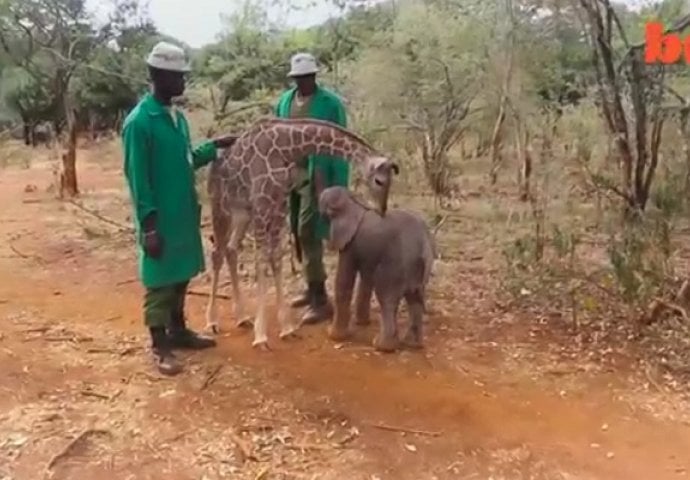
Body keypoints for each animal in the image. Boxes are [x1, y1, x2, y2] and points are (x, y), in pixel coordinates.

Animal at [318, 186, 436, 350]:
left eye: (324, 216)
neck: (354, 201)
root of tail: (424, 244)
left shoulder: (350, 245)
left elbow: (344, 280)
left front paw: (333, 336)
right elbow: (366, 279)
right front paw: (362, 323)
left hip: (398, 264)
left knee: (386, 297)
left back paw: (382, 346)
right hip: (418, 268)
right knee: (415, 299)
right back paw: (412, 344)